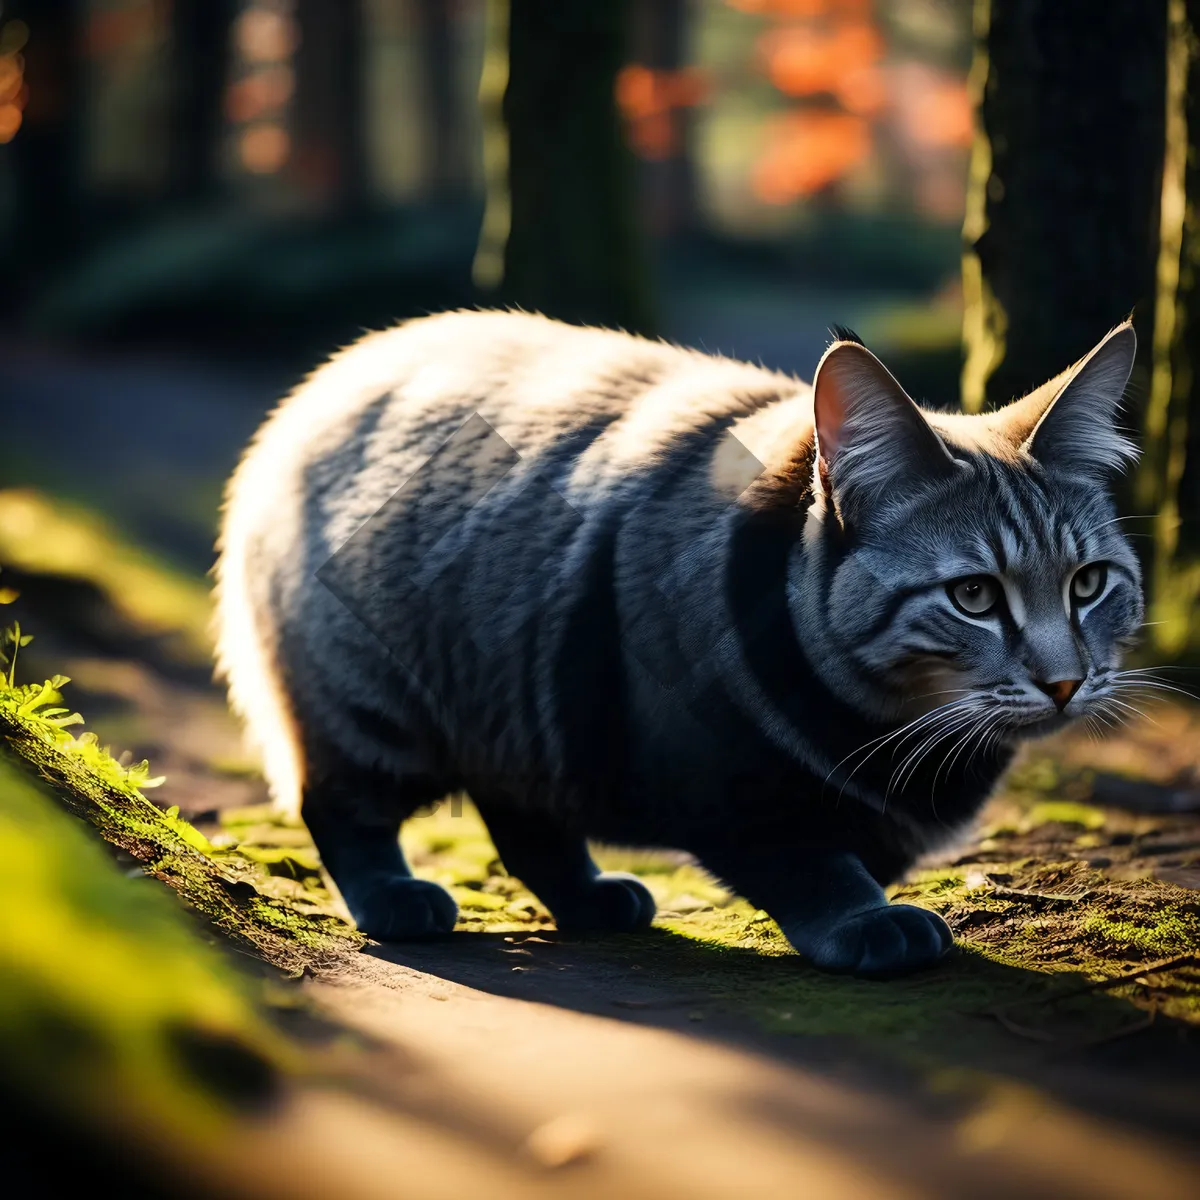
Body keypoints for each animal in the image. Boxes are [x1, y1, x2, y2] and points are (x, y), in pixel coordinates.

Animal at [213, 309, 1142, 974]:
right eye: (974, 596)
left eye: (1088, 584)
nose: (1067, 681)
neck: (893, 729)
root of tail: (330, 376)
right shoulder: (720, 778)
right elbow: (809, 857)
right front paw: (865, 918)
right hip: (371, 709)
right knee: (339, 805)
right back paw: (397, 898)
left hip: (513, 698)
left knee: (522, 814)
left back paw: (588, 898)